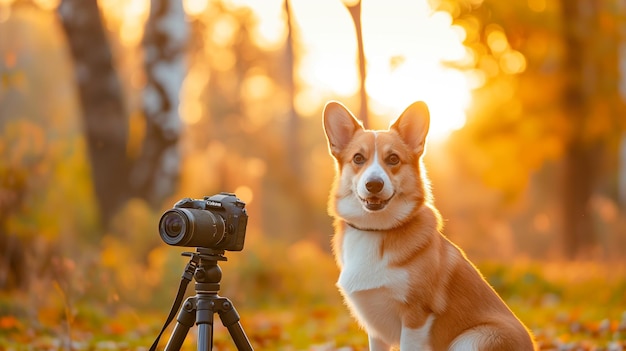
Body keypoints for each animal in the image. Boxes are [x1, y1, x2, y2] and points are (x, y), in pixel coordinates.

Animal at [322, 102, 532, 351]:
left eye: (393, 159)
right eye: (358, 158)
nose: (374, 184)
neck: (376, 230)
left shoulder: (415, 317)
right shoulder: (376, 330)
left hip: (473, 339)